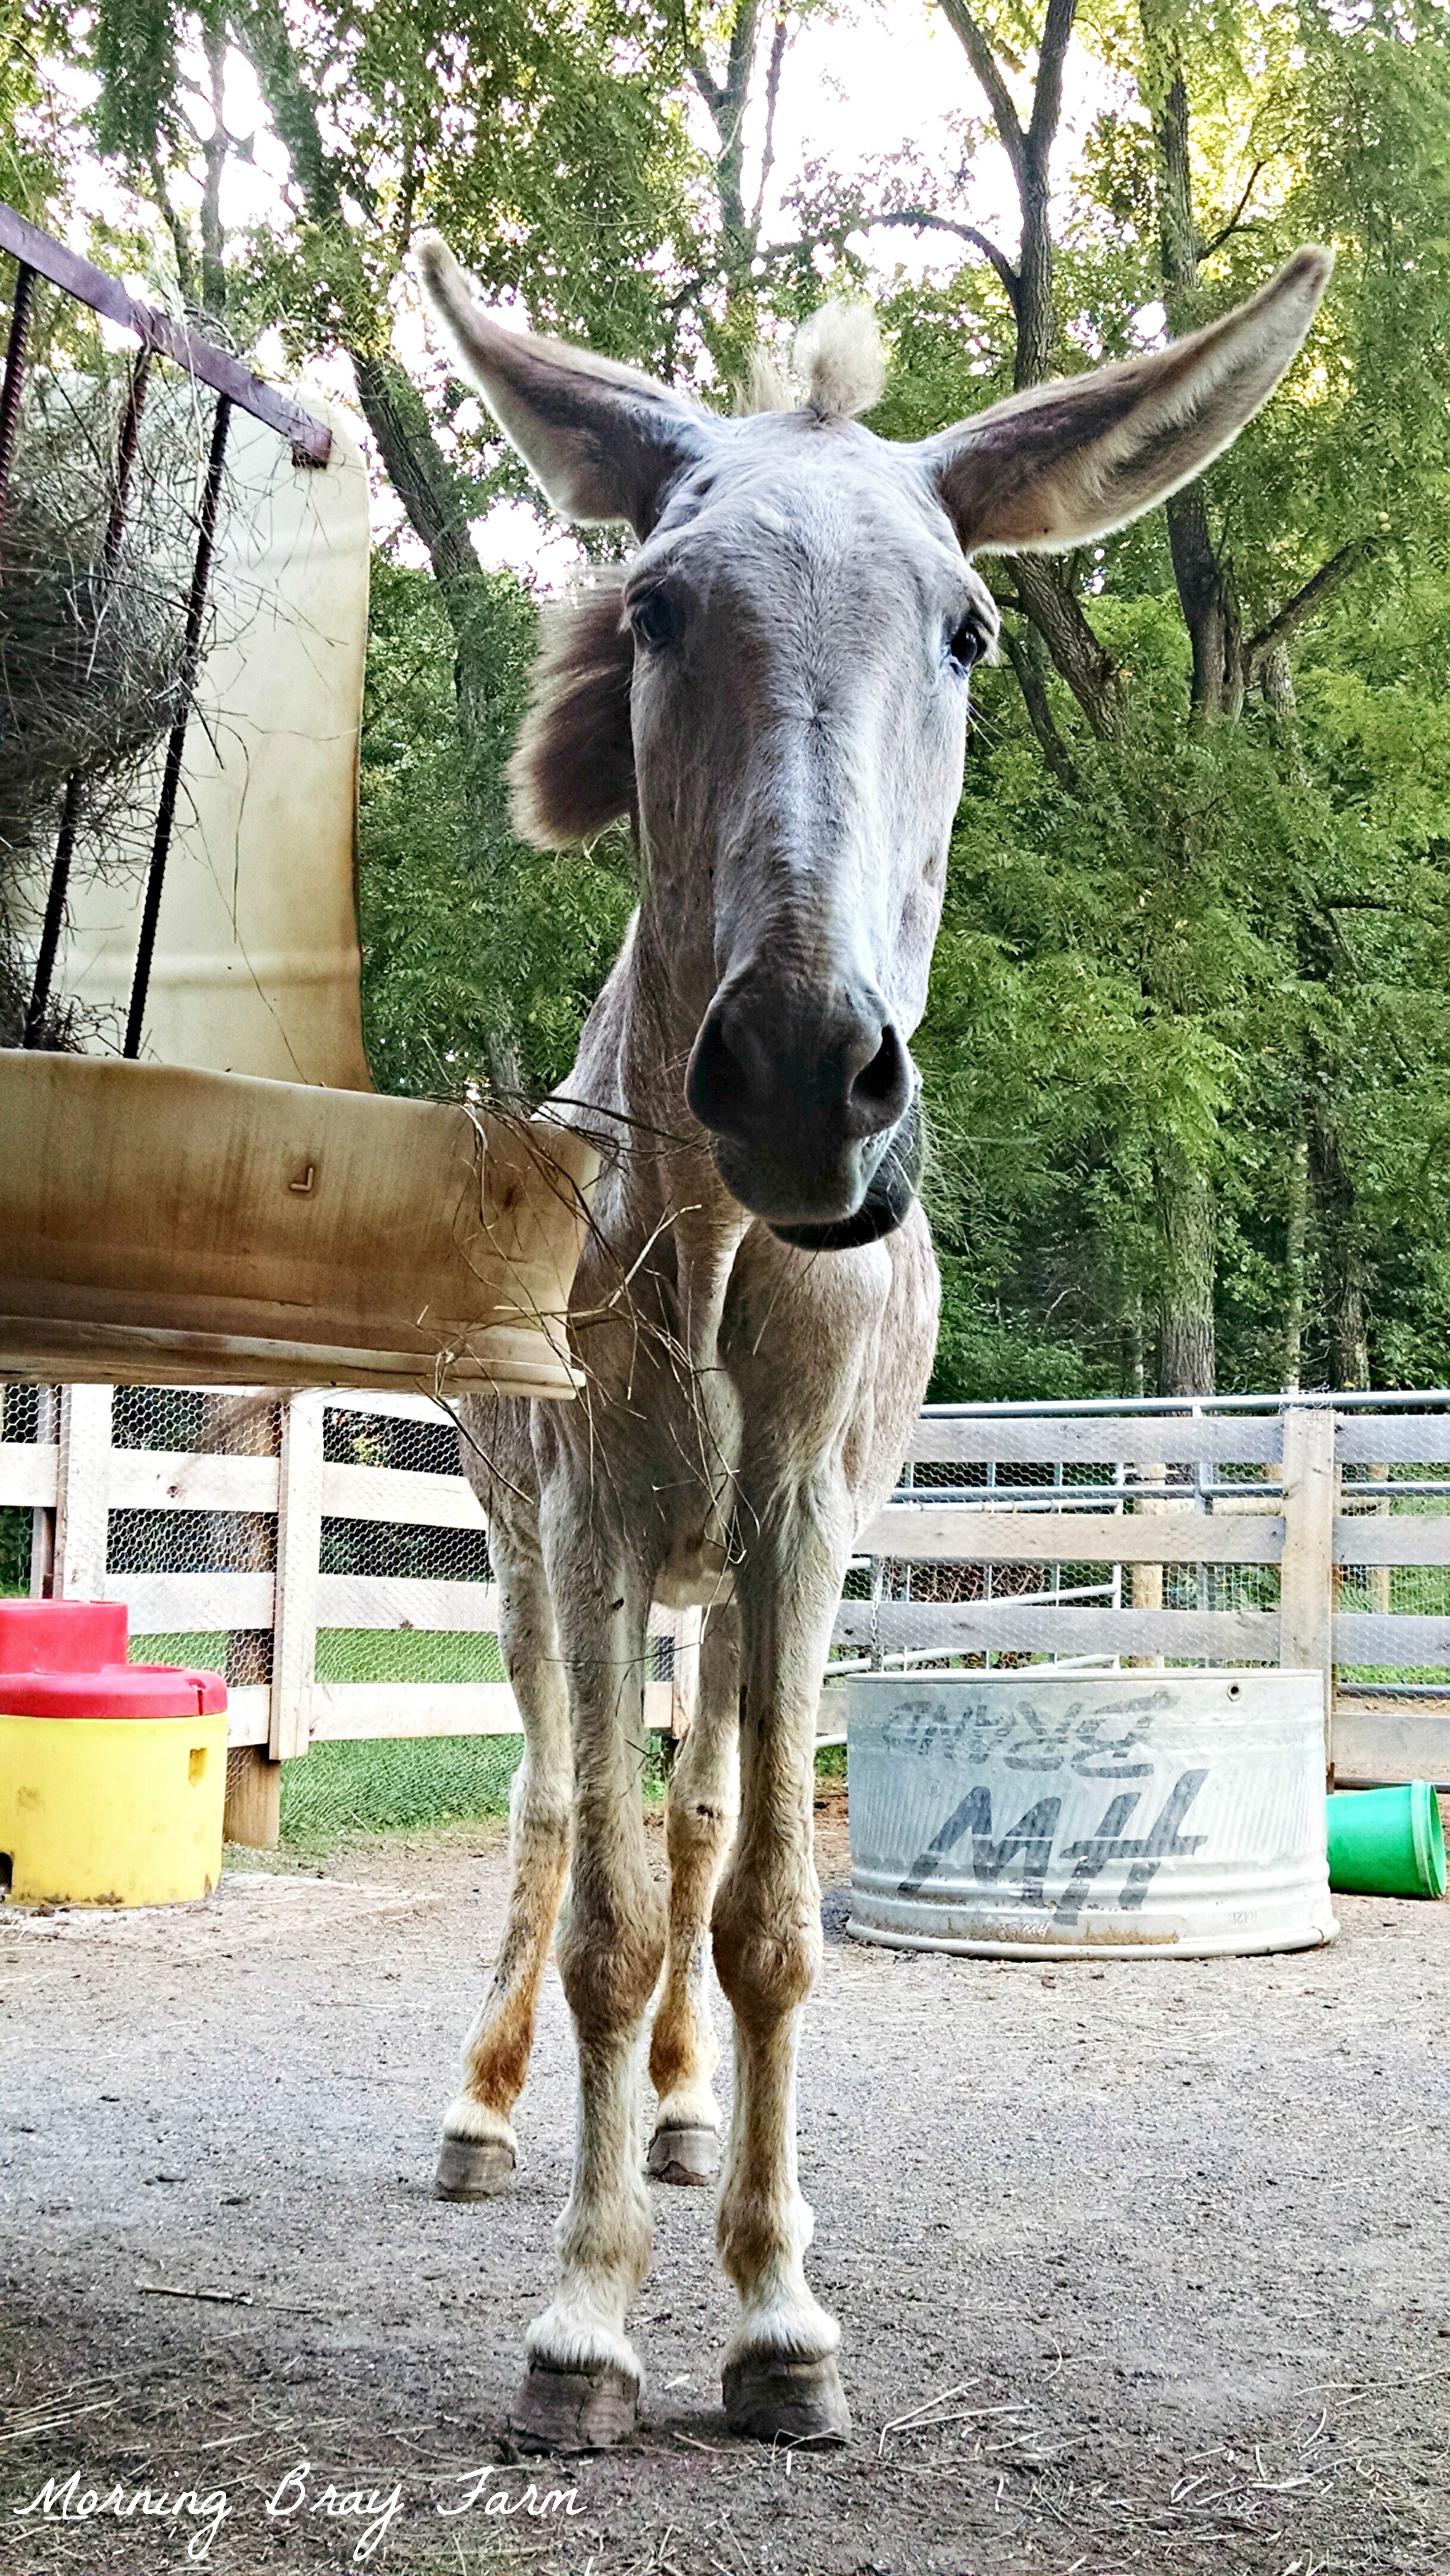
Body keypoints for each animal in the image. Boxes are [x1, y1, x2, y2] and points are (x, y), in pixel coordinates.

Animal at [417, 234, 1330, 2452]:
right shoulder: (592, 1517)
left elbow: (756, 1909)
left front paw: (771, 2306)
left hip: (723, 1579)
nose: (801, 1072)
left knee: (690, 1822)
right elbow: (604, 1908)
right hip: (530, 1550)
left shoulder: (799, 1523)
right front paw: (584, 2322)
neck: (720, 1255)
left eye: (970, 628)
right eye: (657, 607)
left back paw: (674, 2121)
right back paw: (487, 2115)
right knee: (554, 1811)